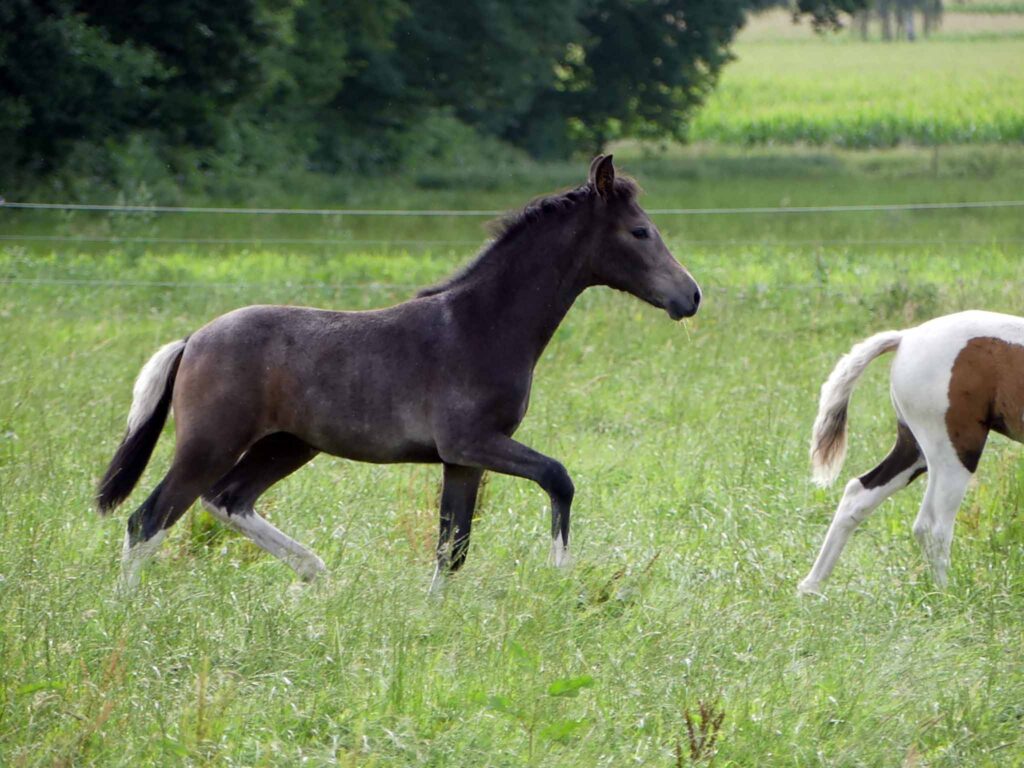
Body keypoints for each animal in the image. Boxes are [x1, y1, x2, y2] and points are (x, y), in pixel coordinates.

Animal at [96, 154, 700, 589]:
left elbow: (451, 549)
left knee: (228, 499)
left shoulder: (462, 460)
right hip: (211, 443)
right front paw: (560, 573)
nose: (690, 295)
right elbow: (558, 478)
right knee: (148, 520)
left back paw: (315, 573)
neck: (480, 324)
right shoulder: (474, 442)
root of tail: (193, 339)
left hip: (287, 445)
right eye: (640, 232)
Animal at [802, 309, 1024, 593]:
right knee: (932, 525)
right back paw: (947, 595)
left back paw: (811, 587)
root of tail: (906, 337)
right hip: (955, 451)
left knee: (858, 495)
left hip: (914, 450)